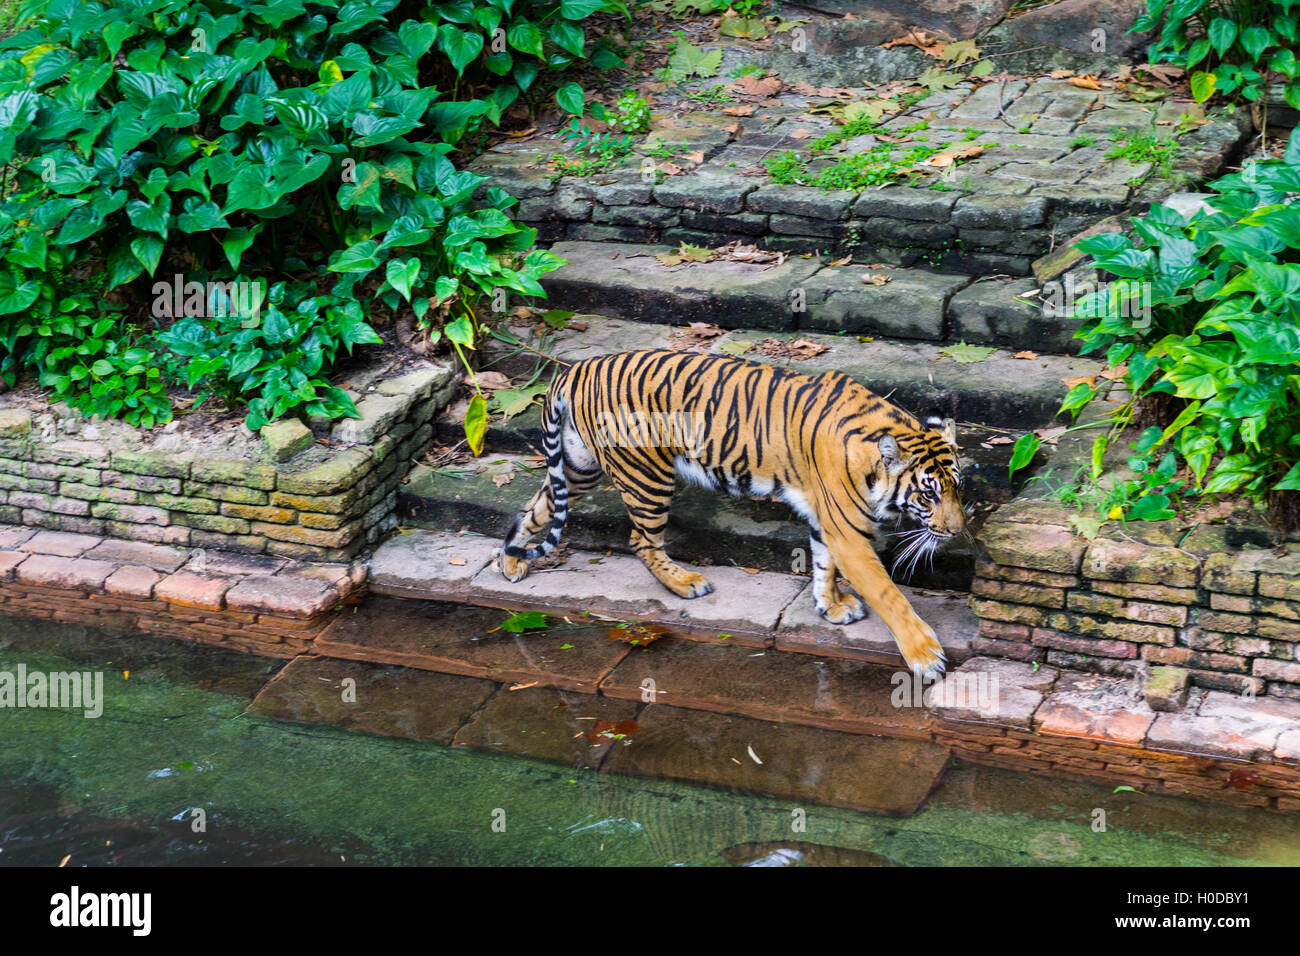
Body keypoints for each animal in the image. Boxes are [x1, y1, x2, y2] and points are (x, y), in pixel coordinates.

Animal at [498, 349, 966, 677]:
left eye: (956, 488)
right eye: (928, 496)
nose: (957, 532)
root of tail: (576, 368)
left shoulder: (827, 522)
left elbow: (823, 566)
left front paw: (830, 607)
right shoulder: (848, 533)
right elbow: (889, 595)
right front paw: (926, 656)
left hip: (581, 467)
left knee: (536, 506)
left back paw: (510, 562)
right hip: (646, 476)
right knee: (641, 541)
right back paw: (685, 583)